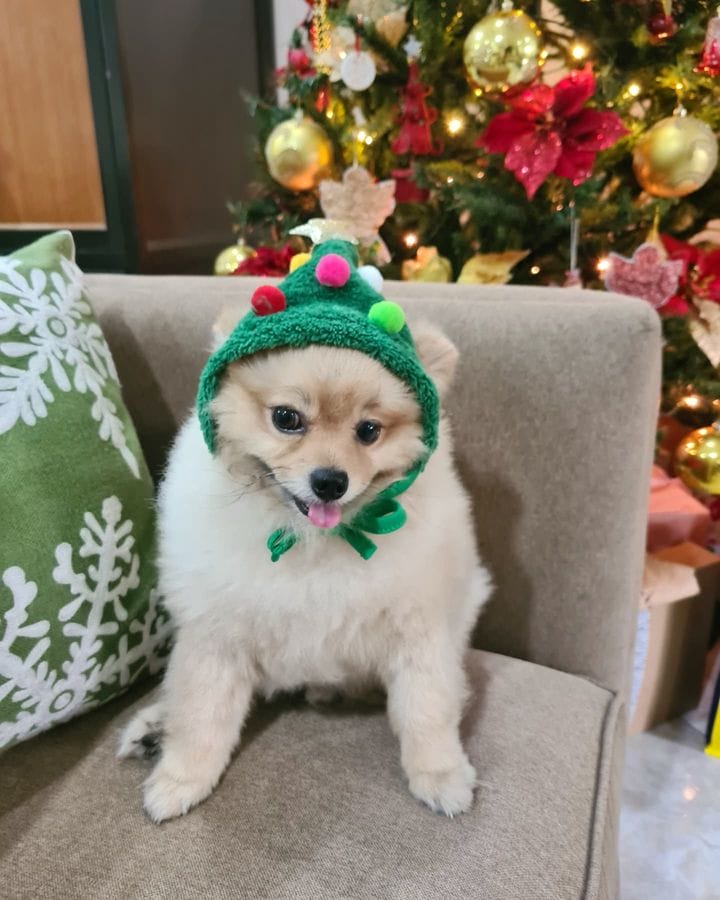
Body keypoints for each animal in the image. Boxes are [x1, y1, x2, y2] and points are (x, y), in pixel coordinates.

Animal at [118, 311, 491, 823]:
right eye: (286, 418)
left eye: (369, 431)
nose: (330, 481)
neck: (313, 541)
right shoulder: (216, 631)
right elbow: (200, 710)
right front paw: (181, 779)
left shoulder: (421, 628)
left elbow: (426, 706)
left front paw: (440, 774)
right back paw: (155, 728)